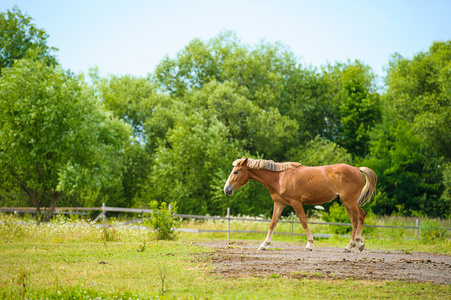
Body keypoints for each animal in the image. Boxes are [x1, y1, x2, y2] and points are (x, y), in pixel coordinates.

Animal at [223, 158, 378, 252]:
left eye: (236, 172)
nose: (226, 190)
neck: (280, 178)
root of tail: (357, 169)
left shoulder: (296, 203)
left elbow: (304, 222)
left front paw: (309, 244)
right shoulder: (279, 203)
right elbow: (273, 224)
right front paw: (264, 244)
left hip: (350, 201)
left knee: (361, 216)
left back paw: (359, 243)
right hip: (346, 203)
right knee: (354, 221)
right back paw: (349, 246)